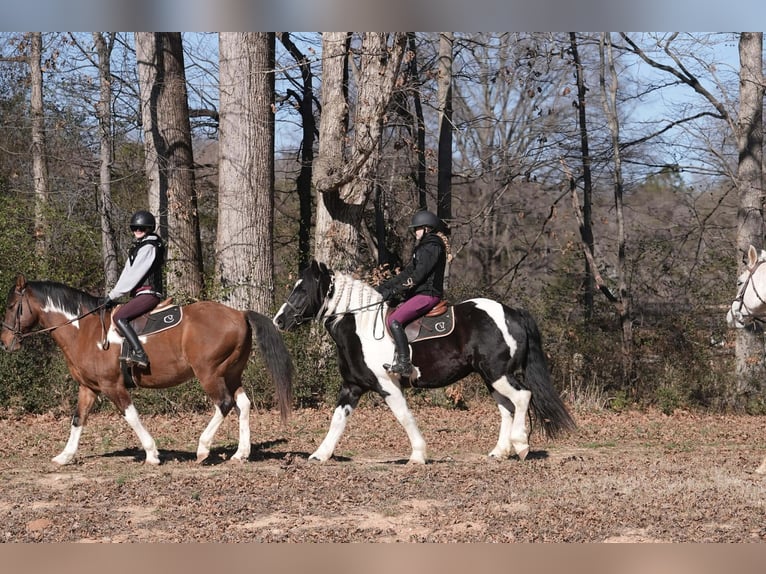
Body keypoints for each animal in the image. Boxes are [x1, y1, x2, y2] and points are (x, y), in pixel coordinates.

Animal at [1, 274, 293, 466]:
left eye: (12, 306)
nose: (4, 342)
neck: (84, 330)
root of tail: (239, 314)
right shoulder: (89, 388)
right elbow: (78, 418)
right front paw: (65, 456)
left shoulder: (112, 386)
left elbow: (131, 416)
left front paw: (152, 454)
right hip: (230, 373)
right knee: (243, 405)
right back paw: (240, 453)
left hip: (209, 374)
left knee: (224, 403)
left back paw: (202, 449)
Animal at [273, 259, 575, 464]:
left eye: (302, 289)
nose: (279, 321)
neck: (361, 326)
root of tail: (511, 312)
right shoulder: (352, 386)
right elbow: (337, 419)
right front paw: (320, 454)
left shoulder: (387, 385)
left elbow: (404, 416)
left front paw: (418, 454)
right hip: (491, 377)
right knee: (507, 408)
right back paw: (499, 452)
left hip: (499, 374)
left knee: (523, 397)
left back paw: (520, 444)